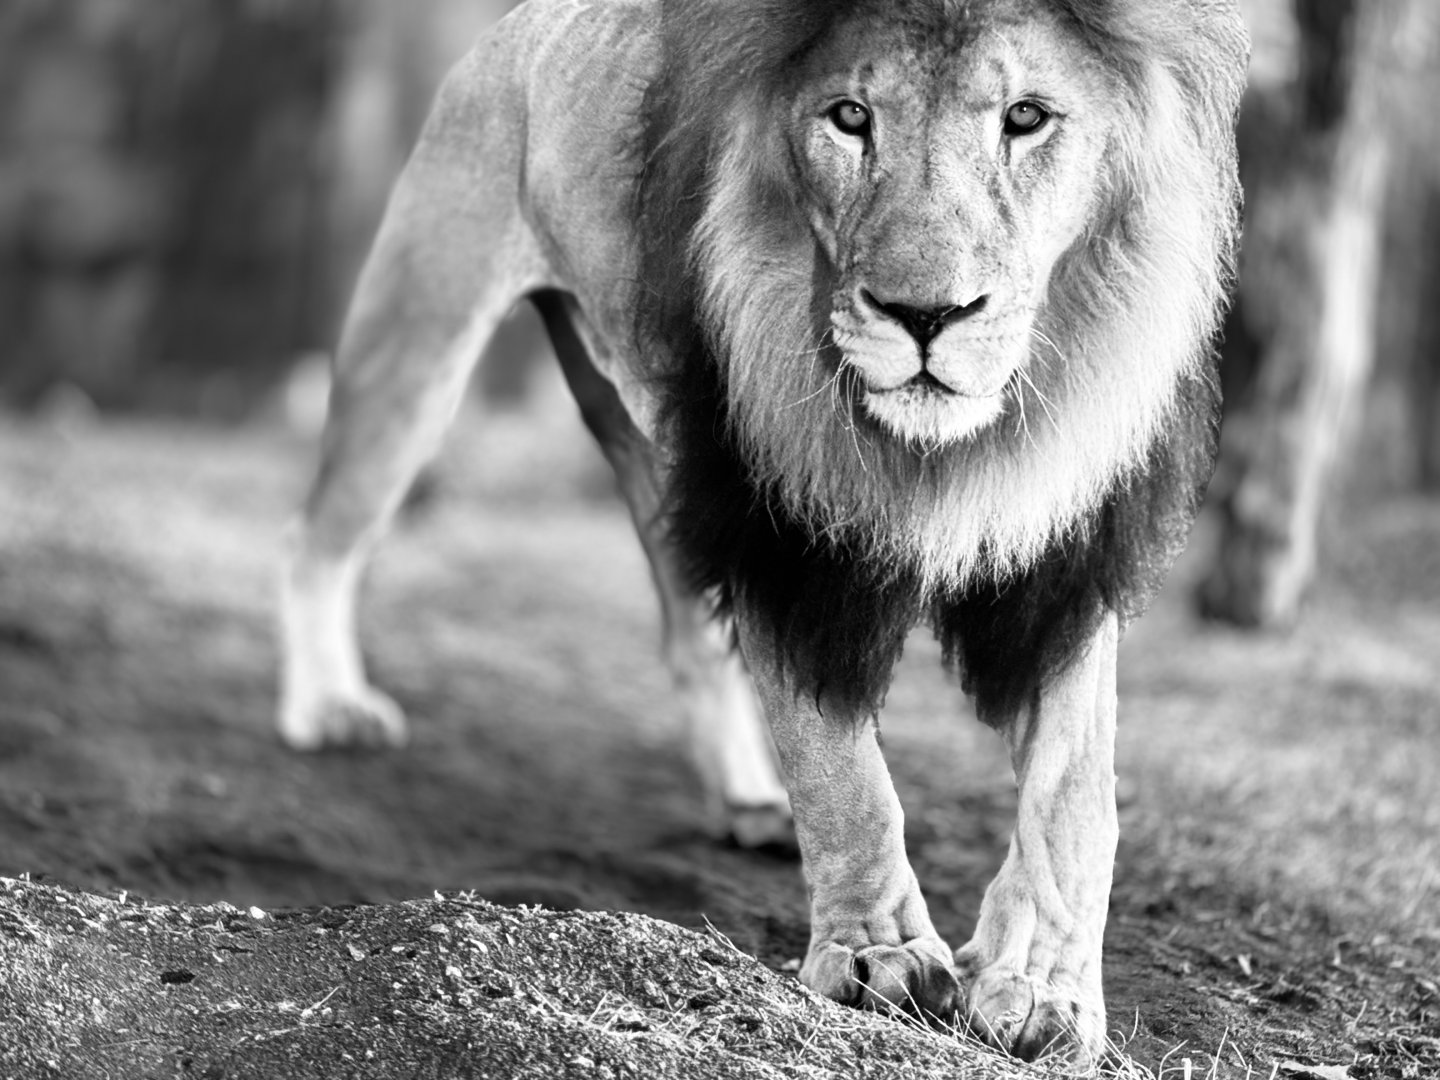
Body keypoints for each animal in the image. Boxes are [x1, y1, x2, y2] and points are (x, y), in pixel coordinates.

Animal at [278, 0, 1247, 1062]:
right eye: (850, 117)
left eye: (1026, 117)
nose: (924, 315)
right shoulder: (778, 521)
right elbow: (840, 770)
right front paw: (878, 958)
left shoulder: (1069, 544)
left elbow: (1074, 788)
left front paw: (1042, 990)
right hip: (421, 333)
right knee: (318, 537)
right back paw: (327, 706)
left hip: (655, 438)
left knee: (687, 633)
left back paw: (747, 801)